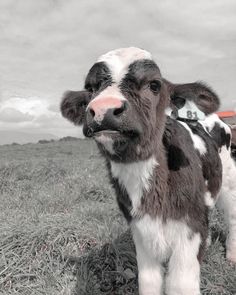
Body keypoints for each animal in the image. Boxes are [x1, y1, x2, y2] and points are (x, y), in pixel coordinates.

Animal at [60, 47, 236, 294]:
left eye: (154, 85)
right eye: (90, 88)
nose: (104, 109)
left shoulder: (188, 230)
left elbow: (181, 284)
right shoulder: (141, 232)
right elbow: (149, 281)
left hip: (229, 180)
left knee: (232, 216)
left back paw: (231, 255)